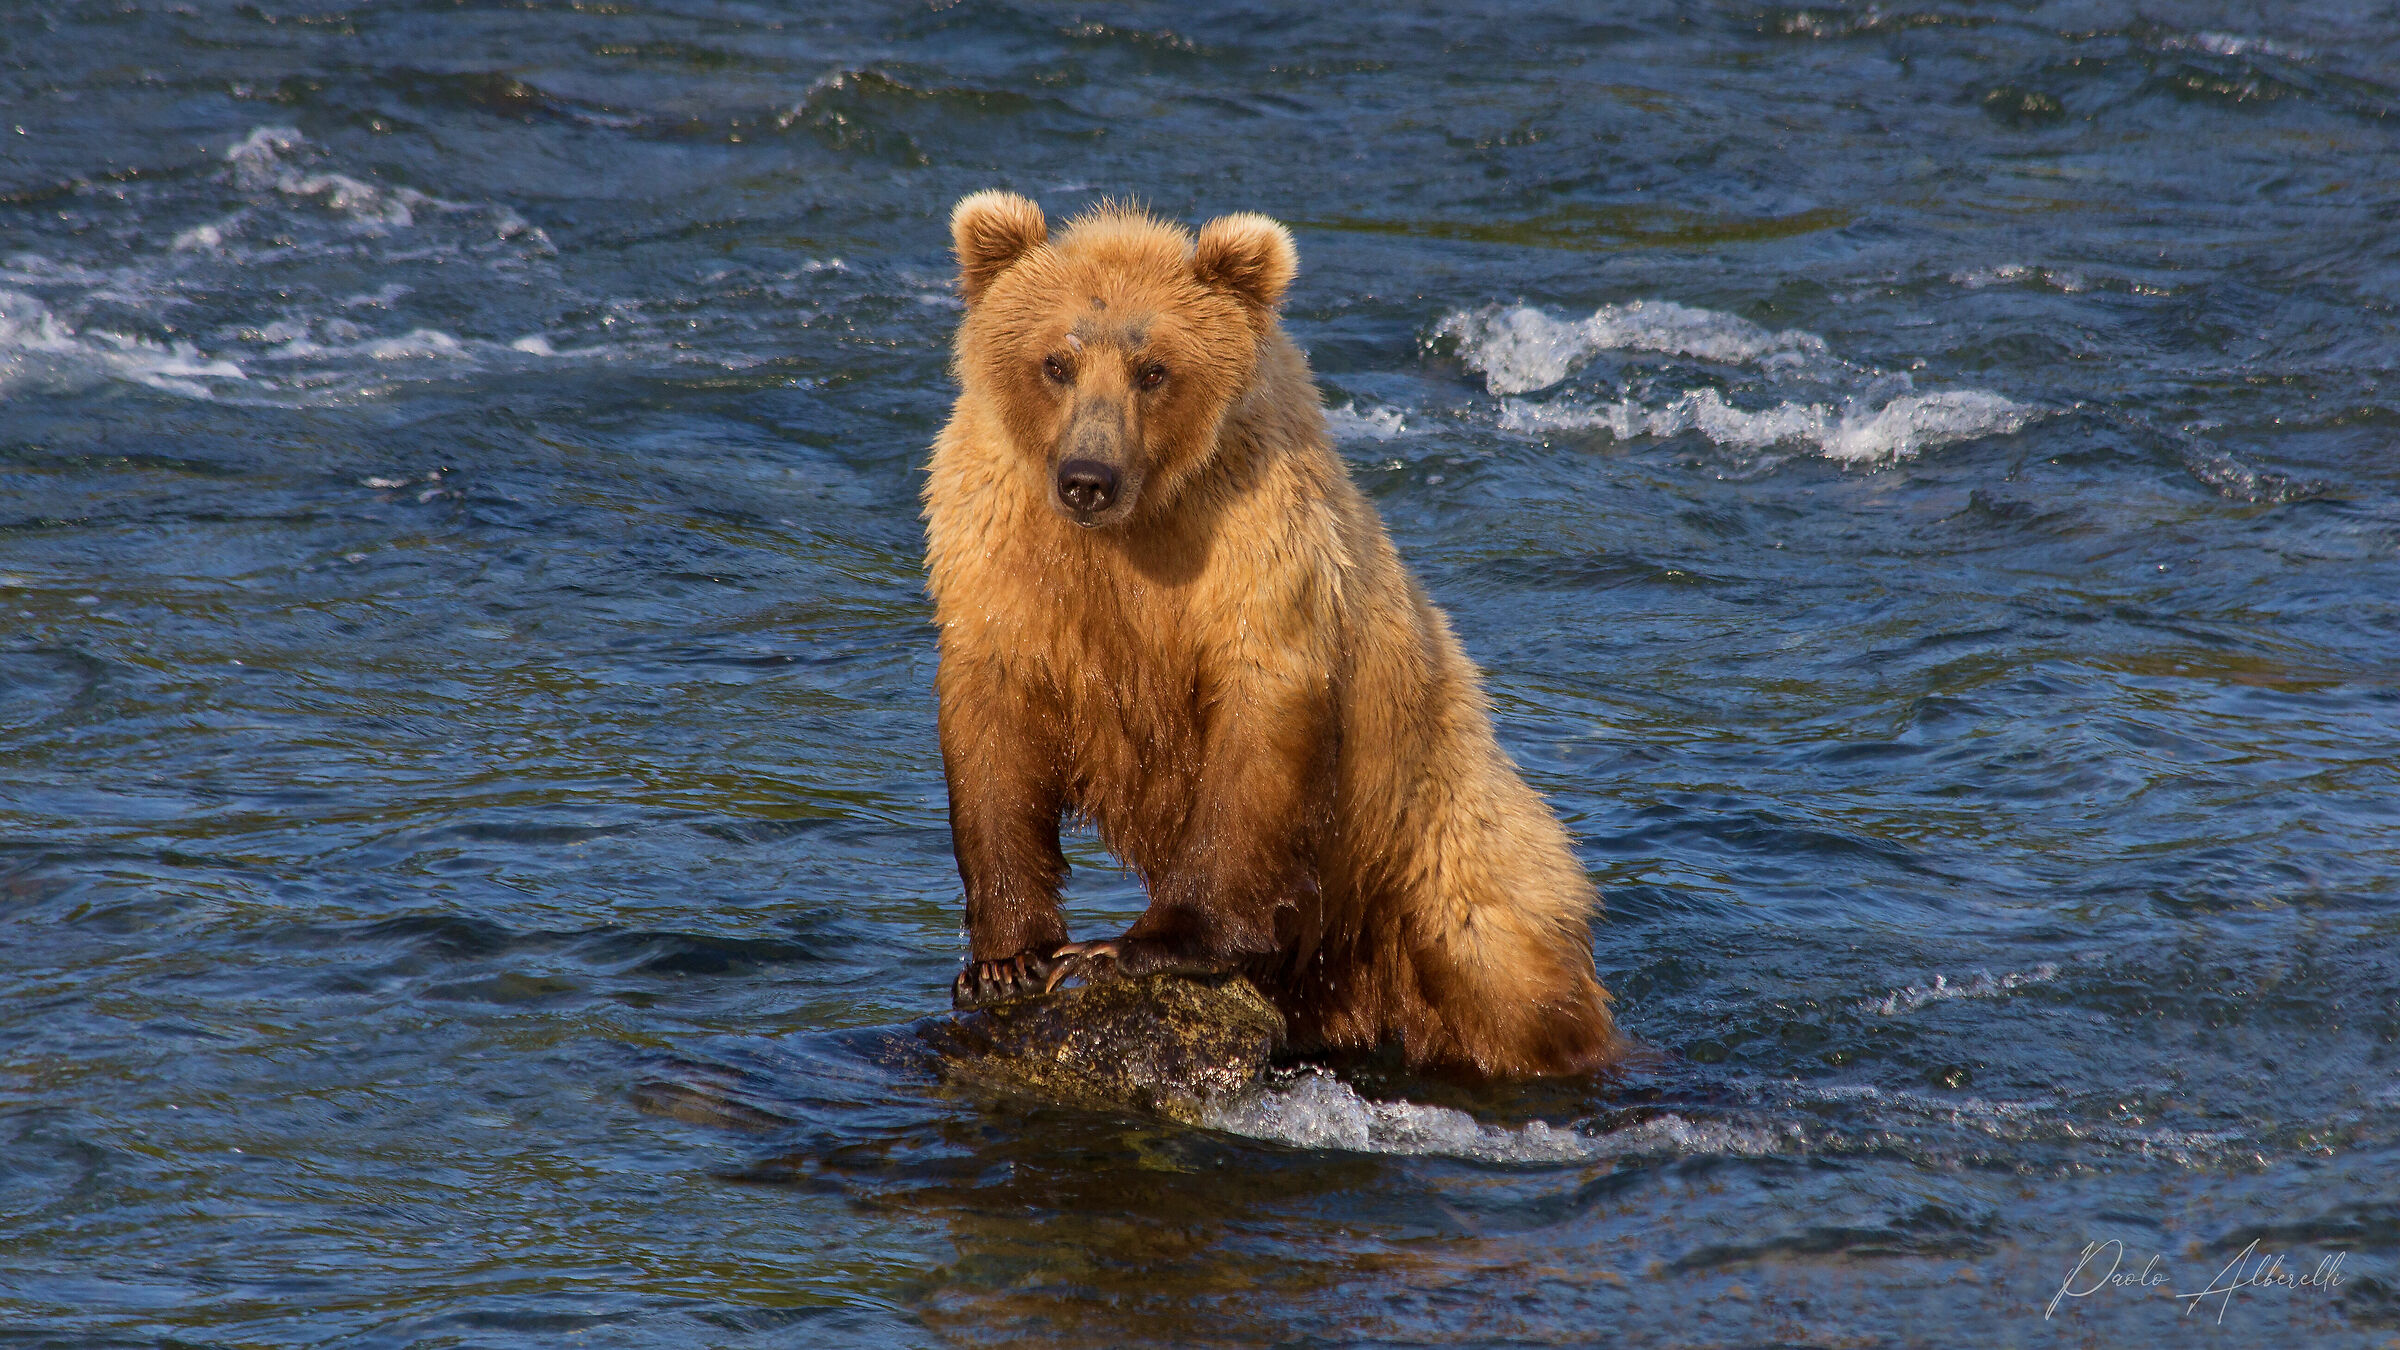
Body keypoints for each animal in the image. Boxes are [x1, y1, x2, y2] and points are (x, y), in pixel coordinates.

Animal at [922, 190, 1625, 1079]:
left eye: (1154, 369)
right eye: (1057, 360)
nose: (1088, 478)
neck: (1134, 531)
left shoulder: (1253, 545)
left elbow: (1257, 729)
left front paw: (1137, 946)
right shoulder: (998, 549)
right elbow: (994, 734)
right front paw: (1005, 961)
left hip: (1446, 841)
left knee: (1511, 977)